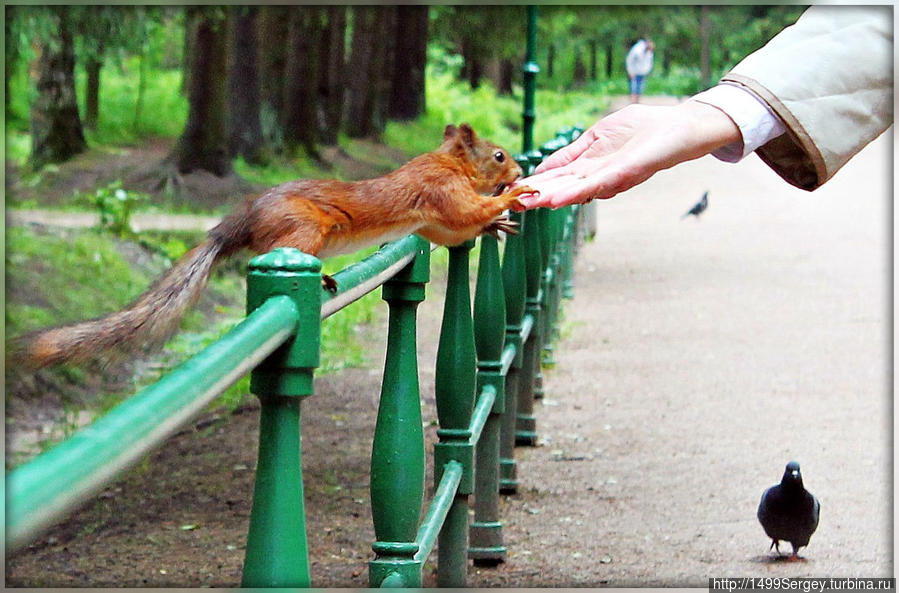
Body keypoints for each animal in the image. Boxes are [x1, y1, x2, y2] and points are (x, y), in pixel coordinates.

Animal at [15, 122, 536, 368]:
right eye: (498, 155)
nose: (518, 170)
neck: (449, 163)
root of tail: (237, 223)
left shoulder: (433, 223)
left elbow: (453, 231)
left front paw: (494, 224)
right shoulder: (441, 193)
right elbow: (464, 213)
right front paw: (508, 198)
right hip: (304, 228)